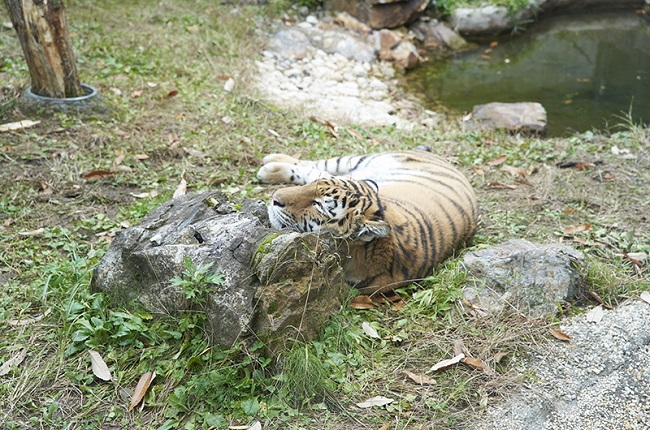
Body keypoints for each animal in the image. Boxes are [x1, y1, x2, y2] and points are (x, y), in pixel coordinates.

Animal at [254, 149, 476, 294]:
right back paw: (273, 160)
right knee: (317, 166)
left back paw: (268, 167)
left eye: (320, 205)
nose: (275, 198)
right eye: (312, 188)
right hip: (357, 162)